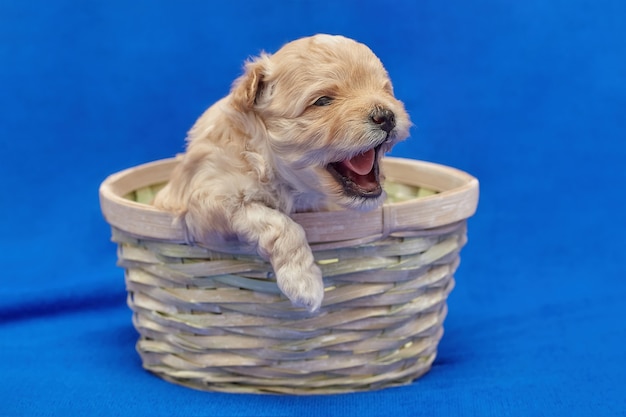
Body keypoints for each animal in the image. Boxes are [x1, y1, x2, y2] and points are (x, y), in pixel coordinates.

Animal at [154, 34, 412, 310]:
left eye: (386, 91)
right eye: (323, 101)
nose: (386, 116)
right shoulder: (209, 199)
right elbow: (282, 224)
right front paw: (304, 284)